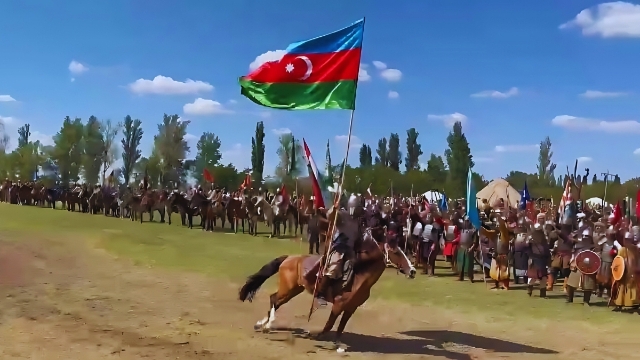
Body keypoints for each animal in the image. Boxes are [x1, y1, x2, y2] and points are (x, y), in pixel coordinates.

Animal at [239, 228, 416, 346]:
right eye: (396, 252)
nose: (413, 271)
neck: (359, 276)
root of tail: (289, 258)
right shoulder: (338, 305)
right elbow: (330, 324)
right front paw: (318, 336)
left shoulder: (351, 308)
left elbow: (341, 327)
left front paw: (337, 344)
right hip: (287, 288)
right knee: (274, 299)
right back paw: (268, 325)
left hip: (294, 289)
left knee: (275, 301)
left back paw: (262, 324)